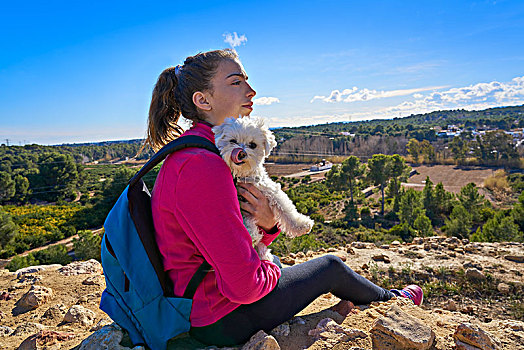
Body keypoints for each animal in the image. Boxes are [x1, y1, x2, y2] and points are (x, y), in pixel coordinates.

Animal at [211, 115, 314, 260]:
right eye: (233, 141)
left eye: (253, 145)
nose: (241, 153)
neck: (243, 175)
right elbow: (245, 221)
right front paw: (252, 233)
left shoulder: (270, 190)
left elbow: (286, 209)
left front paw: (302, 224)